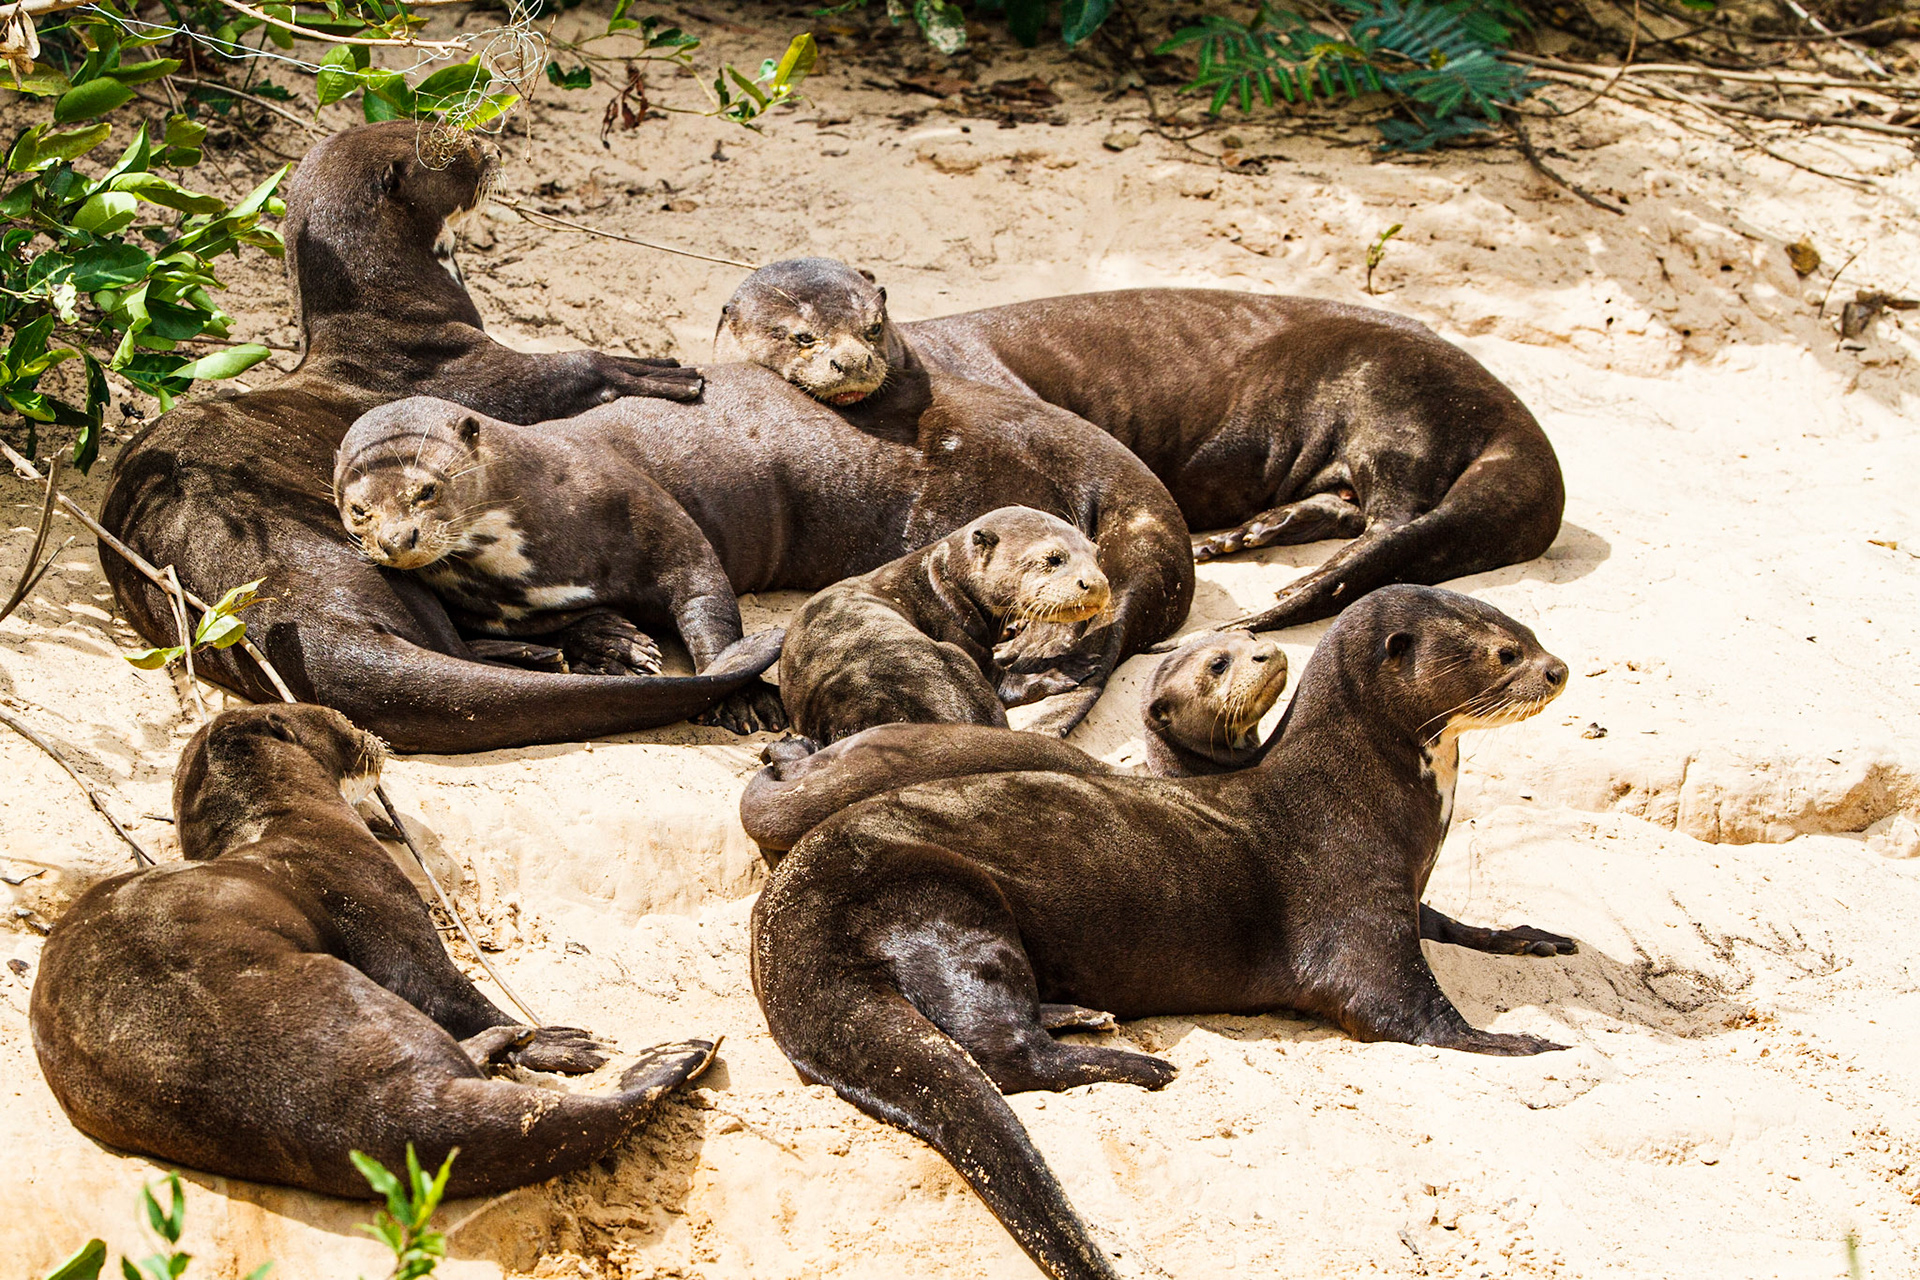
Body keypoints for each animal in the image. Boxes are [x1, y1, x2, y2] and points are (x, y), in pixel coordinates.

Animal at [750, 585, 1576, 1280]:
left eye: (1527, 629)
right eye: (1504, 652)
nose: (1557, 668)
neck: (1370, 799)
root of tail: (784, 913)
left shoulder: (1408, 893)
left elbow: (1452, 925)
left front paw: (1531, 936)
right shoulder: (1357, 905)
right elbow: (1410, 1013)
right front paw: (1521, 1042)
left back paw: (1082, 1014)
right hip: (940, 900)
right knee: (1000, 1054)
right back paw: (1138, 1065)